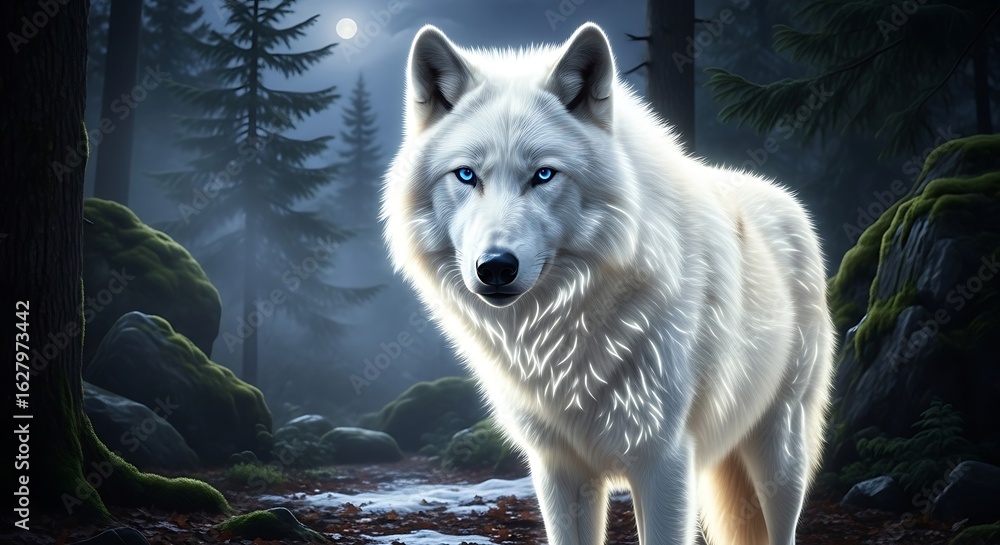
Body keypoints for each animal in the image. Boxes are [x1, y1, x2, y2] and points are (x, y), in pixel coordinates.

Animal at [381, 22, 835, 545]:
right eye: (466, 175)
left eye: (543, 174)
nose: (495, 267)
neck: (563, 333)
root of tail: (782, 197)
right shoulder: (558, 469)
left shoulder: (663, 461)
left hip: (779, 450)